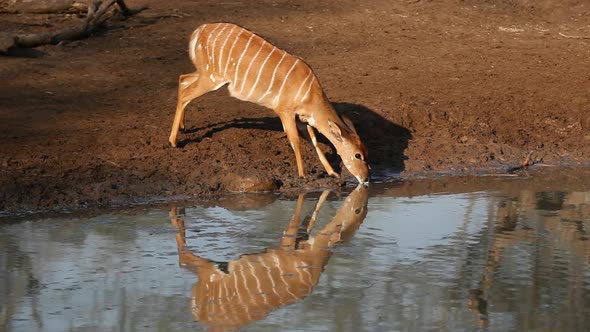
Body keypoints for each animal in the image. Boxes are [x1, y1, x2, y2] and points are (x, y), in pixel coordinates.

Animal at [169, 23, 368, 184]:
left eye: (366, 151)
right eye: (358, 155)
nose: (365, 178)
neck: (310, 94)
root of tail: (198, 31)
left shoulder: (301, 118)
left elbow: (314, 141)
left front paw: (332, 173)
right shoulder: (284, 111)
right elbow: (295, 140)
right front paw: (303, 175)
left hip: (205, 74)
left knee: (183, 79)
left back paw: (184, 127)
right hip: (212, 78)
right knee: (186, 93)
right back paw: (173, 141)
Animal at [169, 185, 368, 328]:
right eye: (357, 211)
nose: (364, 180)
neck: (314, 259)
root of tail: (198, 313)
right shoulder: (287, 244)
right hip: (210, 271)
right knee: (184, 259)